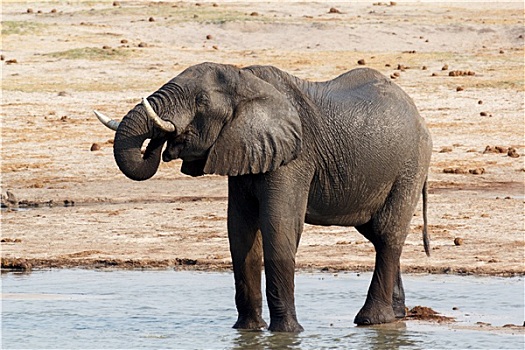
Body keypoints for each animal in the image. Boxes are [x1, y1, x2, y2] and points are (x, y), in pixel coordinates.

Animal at [96, 63, 432, 334]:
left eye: (201, 102)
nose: (163, 141)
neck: (246, 81)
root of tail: (419, 114)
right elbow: (240, 231)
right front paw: (247, 331)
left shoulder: (294, 158)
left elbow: (278, 228)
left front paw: (286, 334)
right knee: (375, 235)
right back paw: (396, 316)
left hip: (410, 166)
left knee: (387, 234)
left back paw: (371, 321)